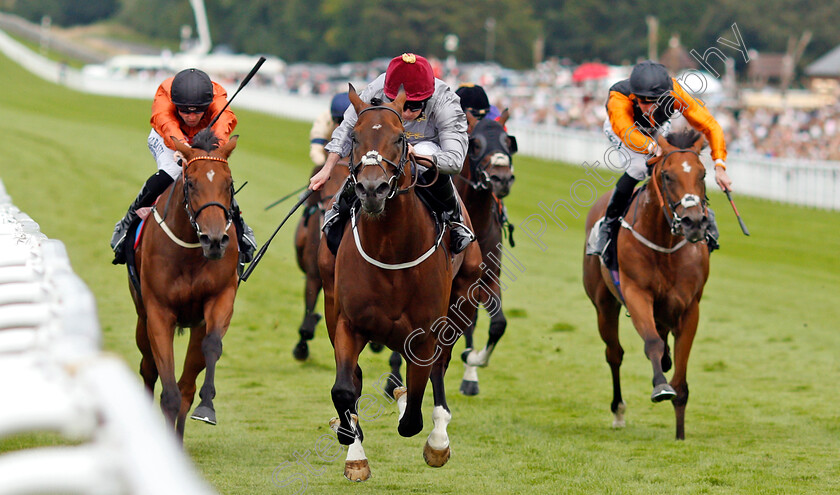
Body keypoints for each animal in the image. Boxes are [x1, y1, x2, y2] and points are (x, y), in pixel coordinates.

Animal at [130, 129, 240, 442]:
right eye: (191, 183)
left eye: (229, 184)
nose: (214, 240)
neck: (191, 250)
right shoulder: (158, 312)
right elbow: (168, 393)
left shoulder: (220, 299)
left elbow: (212, 346)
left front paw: (207, 406)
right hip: (141, 318)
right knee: (148, 368)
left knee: (187, 384)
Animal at [318, 85, 482, 480]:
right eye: (355, 137)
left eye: (399, 138)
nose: (372, 189)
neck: (391, 250)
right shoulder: (346, 322)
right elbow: (345, 389)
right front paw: (352, 447)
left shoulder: (426, 332)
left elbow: (413, 415)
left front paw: (427, 429)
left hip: (463, 301)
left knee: (440, 366)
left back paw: (437, 436)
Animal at [588, 129, 712, 442]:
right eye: (667, 175)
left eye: (703, 174)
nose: (694, 222)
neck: (665, 244)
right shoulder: (636, 294)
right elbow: (652, 343)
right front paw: (660, 386)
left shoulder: (690, 308)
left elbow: (681, 378)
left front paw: (680, 434)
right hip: (603, 304)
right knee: (614, 353)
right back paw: (618, 411)